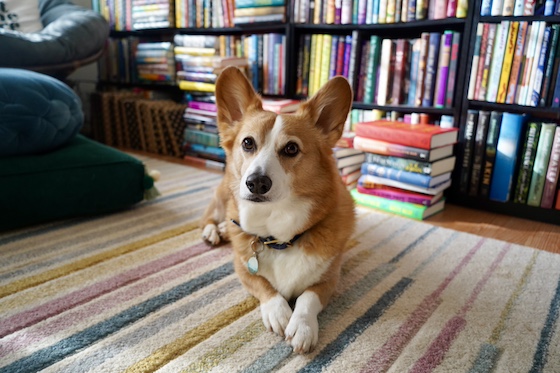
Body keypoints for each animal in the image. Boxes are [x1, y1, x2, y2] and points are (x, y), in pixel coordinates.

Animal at [200, 66, 354, 352]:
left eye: (291, 148)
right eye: (248, 143)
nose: (256, 183)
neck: (279, 237)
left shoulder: (329, 279)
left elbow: (308, 296)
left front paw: (302, 326)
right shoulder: (241, 269)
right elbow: (264, 285)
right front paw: (279, 312)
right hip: (223, 195)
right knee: (208, 217)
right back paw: (214, 231)